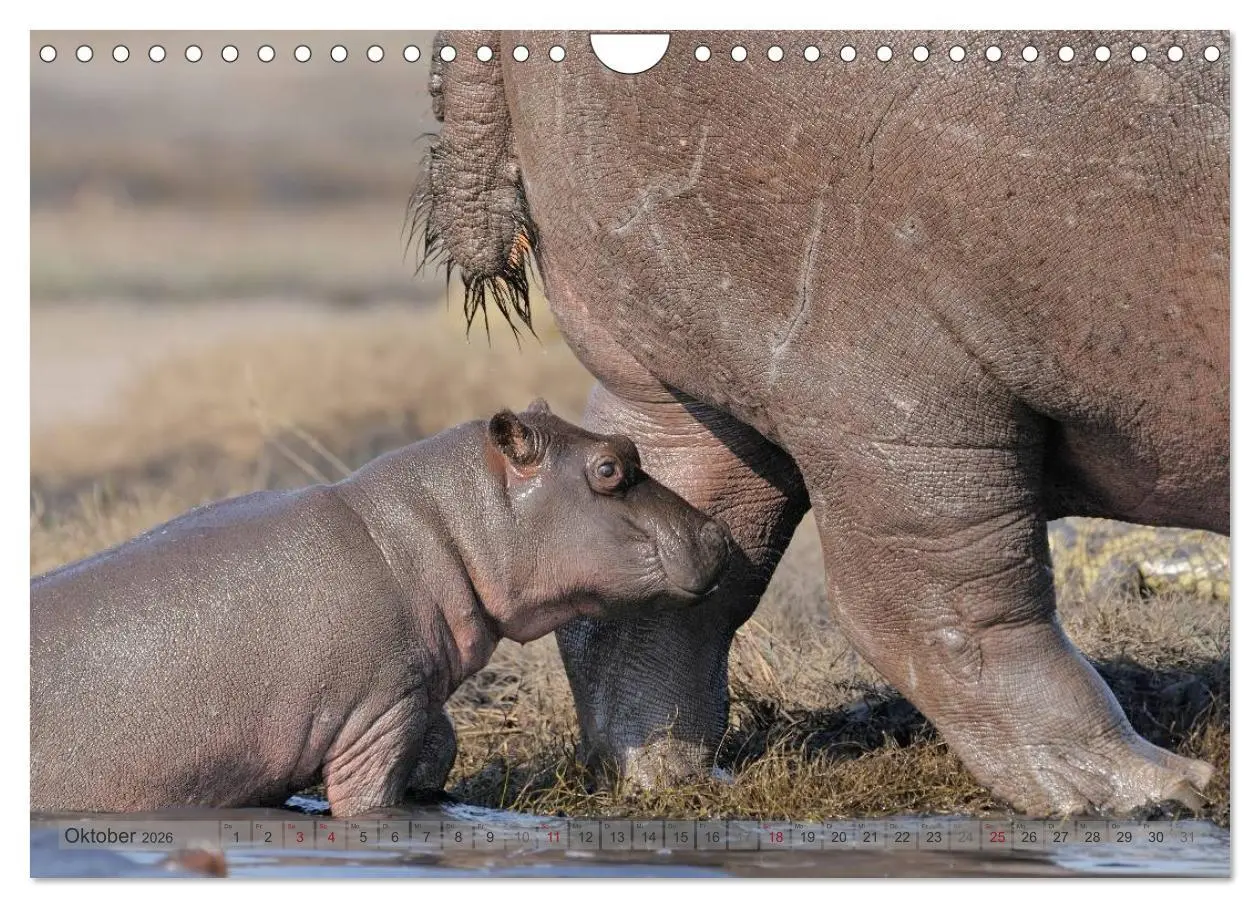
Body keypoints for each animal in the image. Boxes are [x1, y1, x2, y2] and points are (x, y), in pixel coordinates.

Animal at [30, 401, 731, 816]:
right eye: (610, 467)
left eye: (627, 446)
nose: (718, 532)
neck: (435, 530)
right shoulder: (378, 713)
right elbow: (373, 795)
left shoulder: (412, 690)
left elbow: (441, 742)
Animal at [413, 30, 1228, 815]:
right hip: (894, 379)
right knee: (941, 596)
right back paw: (1154, 788)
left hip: (677, 372)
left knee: (657, 588)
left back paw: (677, 780)